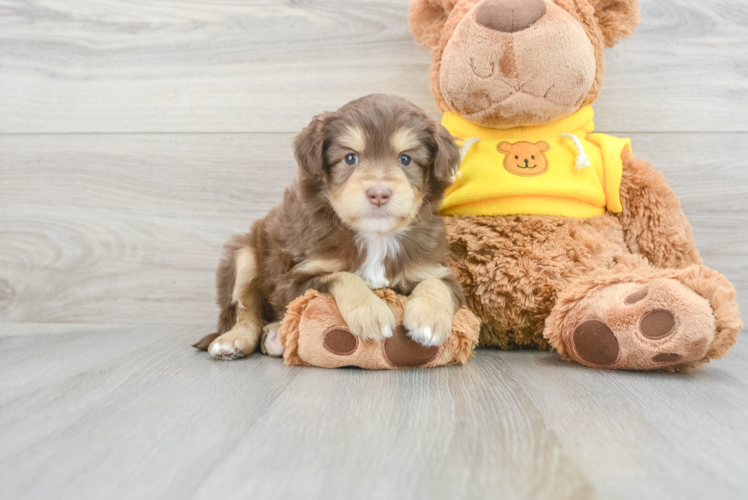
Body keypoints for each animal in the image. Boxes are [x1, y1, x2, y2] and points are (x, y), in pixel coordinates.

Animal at [202, 94, 464, 360]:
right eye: (350, 158)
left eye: (405, 159)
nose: (379, 194)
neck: (375, 237)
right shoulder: (295, 280)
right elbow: (340, 276)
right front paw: (370, 313)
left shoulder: (432, 267)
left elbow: (437, 283)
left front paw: (429, 321)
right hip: (245, 252)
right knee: (245, 309)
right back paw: (234, 340)